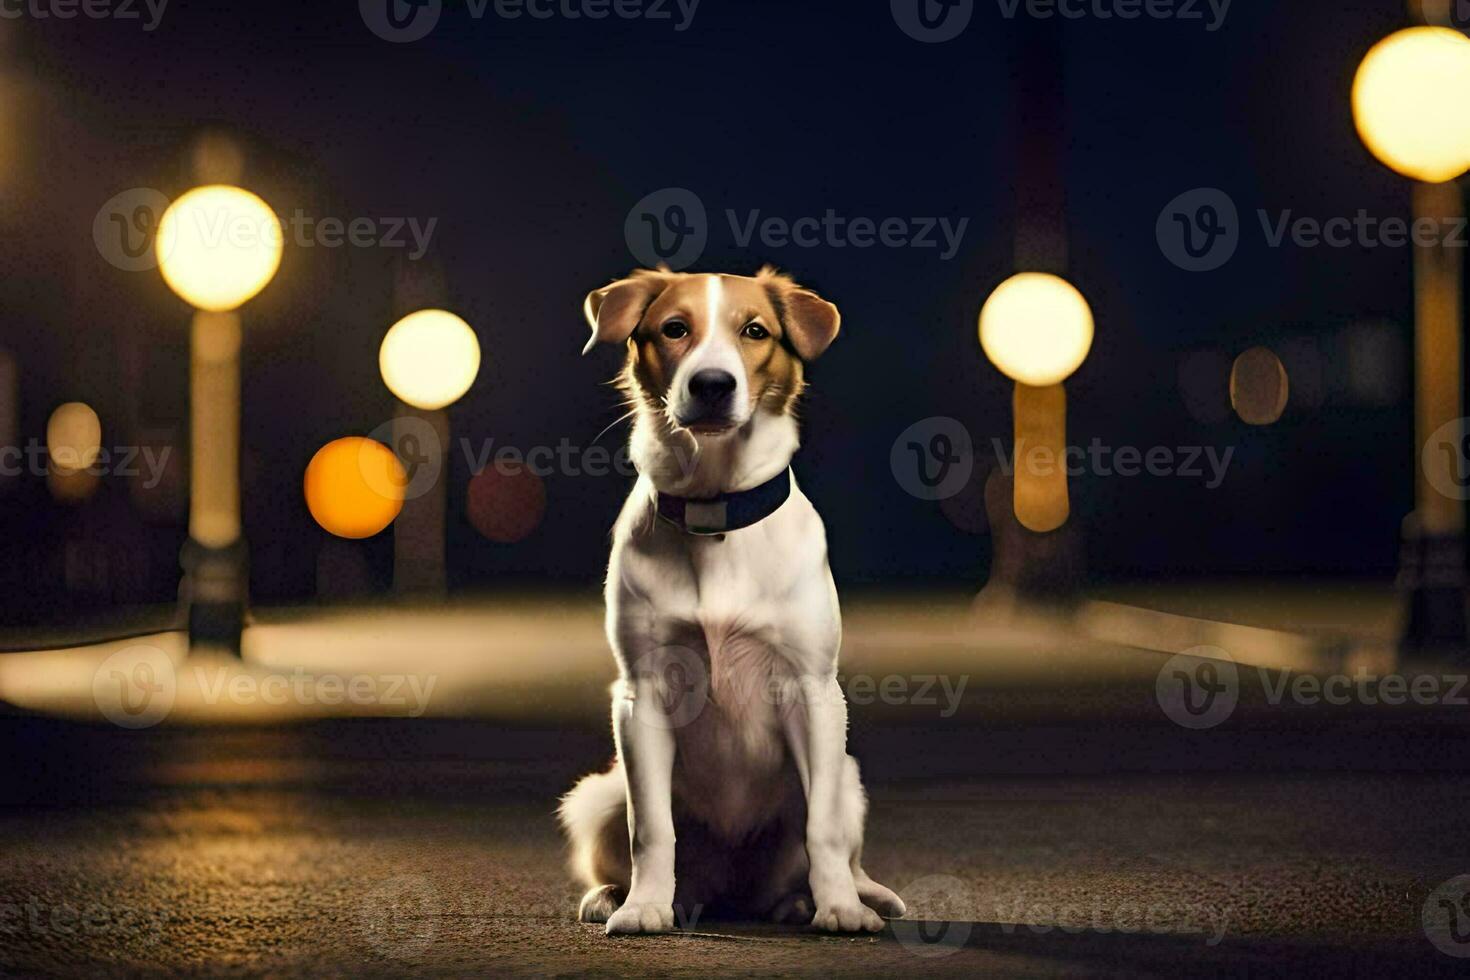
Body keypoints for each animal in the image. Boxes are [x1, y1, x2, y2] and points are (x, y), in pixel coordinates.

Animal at [558, 265, 899, 934]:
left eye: (755, 331)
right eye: (674, 328)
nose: (712, 384)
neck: (715, 512)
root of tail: (733, 892)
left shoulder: (813, 691)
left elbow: (821, 830)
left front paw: (840, 909)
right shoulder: (641, 697)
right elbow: (651, 829)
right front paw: (643, 907)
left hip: (847, 780)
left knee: (823, 850)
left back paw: (809, 900)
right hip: (599, 794)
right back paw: (628, 895)